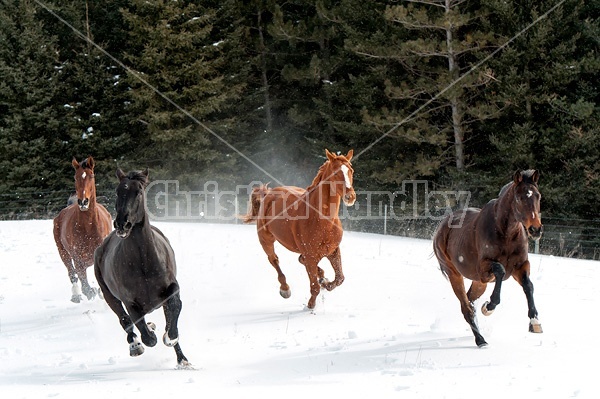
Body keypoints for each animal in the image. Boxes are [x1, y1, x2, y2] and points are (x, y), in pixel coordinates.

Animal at [52, 156, 112, 304]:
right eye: (75, 177)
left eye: (91, 175)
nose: (83, 202)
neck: (89, 227)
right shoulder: (77, 257)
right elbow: (83, 282)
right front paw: (92, 291)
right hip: (63, 252)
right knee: (72, 273)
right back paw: (76, 295)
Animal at [94, 169, 190, 368]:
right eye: (117, 191)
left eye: (138, 191)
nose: (122, 224)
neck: (143, 262)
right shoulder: (130, 302)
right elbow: (146, 335)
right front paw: (149, 335)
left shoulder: (171, 287)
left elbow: (175, 307)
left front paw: (170, 338)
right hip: (110, 297)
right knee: (125, 322)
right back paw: (135, 345)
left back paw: (182, 359)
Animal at [244, 149, 356, 310]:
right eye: (335, 172)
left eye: (351, 171)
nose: (350, 196)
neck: (322, 222)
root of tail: (268, 194)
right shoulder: (310, 255)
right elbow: (314, 287)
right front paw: (310, 305)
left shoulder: (333, 250)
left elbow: (340, 278)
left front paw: (325, 283)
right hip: (266, 240)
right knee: (274, 260)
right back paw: (285, 289)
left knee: (301, 260)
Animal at [432, 170, 544, 348]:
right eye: (519, 198)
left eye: (538, 196)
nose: (535, 229)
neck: (506, 233)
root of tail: (441, 227)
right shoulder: (484, 270)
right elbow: (500, 271)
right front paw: (489, 306)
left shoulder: (520, 266)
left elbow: (528, 286)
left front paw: (535, 322)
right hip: (455, 275)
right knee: (466, 307)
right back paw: (480, 340)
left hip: (479, 283)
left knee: (469, 302)